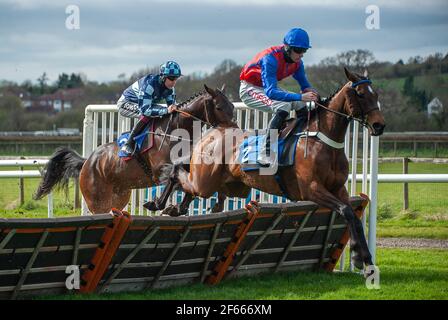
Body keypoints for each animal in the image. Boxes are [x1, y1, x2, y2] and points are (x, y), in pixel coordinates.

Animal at [32, 85, 234, 215]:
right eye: (218, 107)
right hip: (97, 201)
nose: (234, 131)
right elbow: (174, 179)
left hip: (118, 198)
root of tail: (87, 162)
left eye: (232, 106)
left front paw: (180, 207)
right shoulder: (160, 169)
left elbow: (190, 183)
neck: (176, 131)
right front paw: (158, 204)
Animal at [150, 68, 384, 270]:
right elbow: (346, 211)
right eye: (361, 94)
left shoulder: (338, 189)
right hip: (204, 182)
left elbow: (352, 214)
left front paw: (363, 257)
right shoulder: (312, 189)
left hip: (224, 183)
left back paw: (174, 208)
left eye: (376, 94)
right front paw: (359, 256)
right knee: (179, 174)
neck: (321, 139)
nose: (379, 125)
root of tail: (216, 130)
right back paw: (160, 203)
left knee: (188, 183)